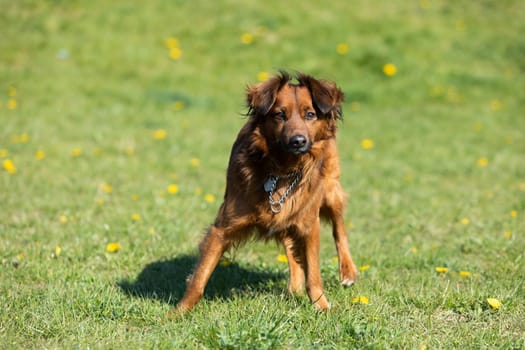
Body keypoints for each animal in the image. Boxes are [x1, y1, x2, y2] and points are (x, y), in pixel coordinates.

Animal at [176, 72, 356, 314]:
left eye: (310, 114)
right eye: (280, 114)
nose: (298, 141)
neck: (282, 171)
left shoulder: (309, 225)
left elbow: (314, 274)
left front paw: (321, 306)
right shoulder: (223, 227)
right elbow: (200, 276)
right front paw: (178, 312)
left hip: (330, 190)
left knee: (339, 228)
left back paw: (348, 271)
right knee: (291, 247)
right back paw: (295, 287)